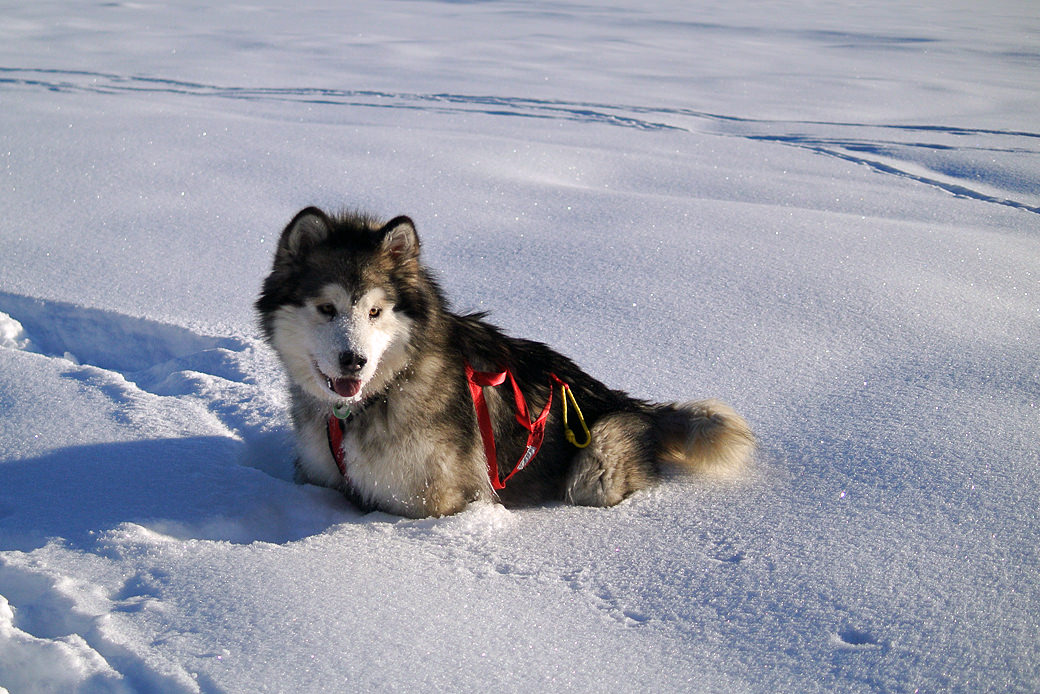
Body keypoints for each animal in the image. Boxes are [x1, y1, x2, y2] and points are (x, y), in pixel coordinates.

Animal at [255, 209, 752, 518]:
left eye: (375, 311)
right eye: (326, 309)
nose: (353, 361)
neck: (373, 400)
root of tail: (631, 401)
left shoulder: (433, 502)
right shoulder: (317, 478)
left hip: (600, 455)